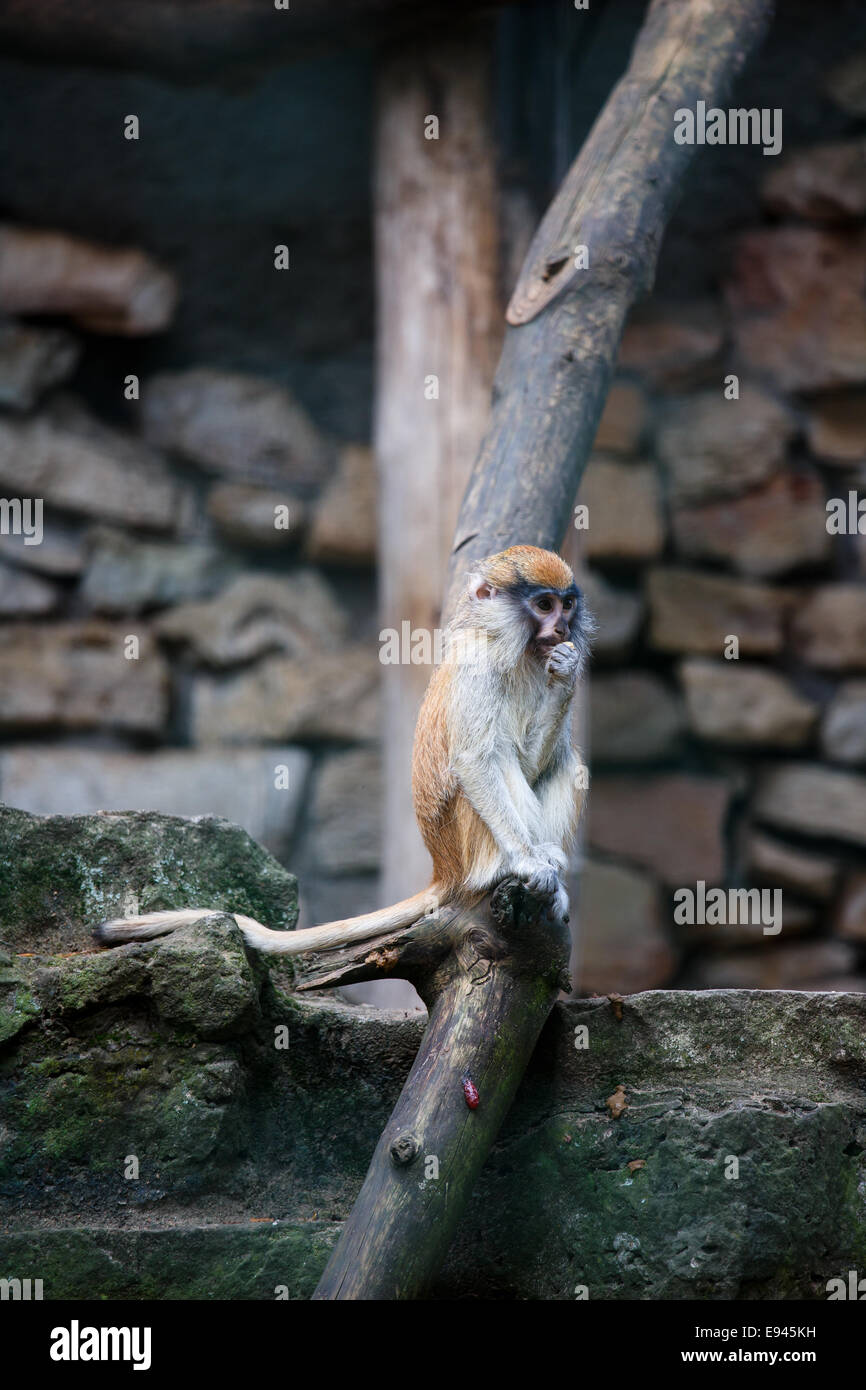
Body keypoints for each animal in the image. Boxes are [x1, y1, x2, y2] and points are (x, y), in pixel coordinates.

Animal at [95, 545, 592, 957]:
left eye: (566, 603)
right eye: (543, 604)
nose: (562, 627)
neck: (512, 645)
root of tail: (445, 869)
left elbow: (536, 761)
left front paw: (568, 671)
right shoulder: (478, 664)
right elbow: (475, 761)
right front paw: (528, 862)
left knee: (569, 763)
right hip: (471, 841)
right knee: (498, 764)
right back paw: (520, 869)